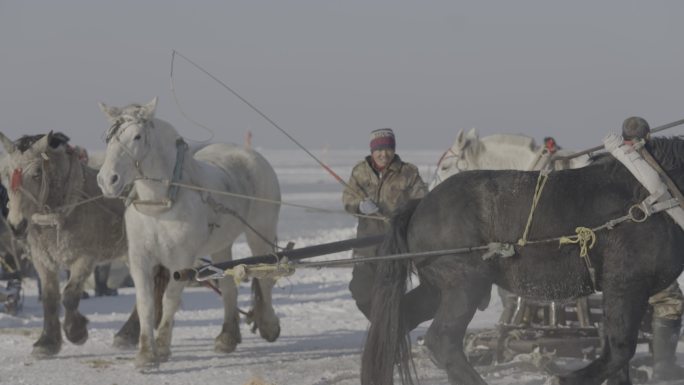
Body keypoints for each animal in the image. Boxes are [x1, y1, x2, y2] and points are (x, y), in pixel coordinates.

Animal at [1, 132, 167, 356]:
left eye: (37, 173)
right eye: (6, 173)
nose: (16, 225)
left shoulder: (84, 258)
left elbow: (69, 295)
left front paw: (76, 332)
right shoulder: (42, 261)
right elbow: (50, 298)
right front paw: (47, 342)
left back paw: (128, 333)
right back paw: (130, 332)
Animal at [96, 97, 280, 368]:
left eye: (137, 136)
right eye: (109, 138)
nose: (108, 180)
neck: (160, 206)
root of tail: (251, 153)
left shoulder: (181, 259)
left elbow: (170, 300)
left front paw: (162, 347)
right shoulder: (140, 257)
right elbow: (145, 302)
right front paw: (145, 353)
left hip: (260, 231)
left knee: (266, 279)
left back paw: (268, 325)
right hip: (221, 245)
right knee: (228, 287)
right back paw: (227, 337)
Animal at [360, 136, 684, 384]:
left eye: (447, 164)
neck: (650, 194)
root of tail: (419, 205)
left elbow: (619, 361)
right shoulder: (626, 283)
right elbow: (620, 350)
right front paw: (562, 379)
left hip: (435, 288)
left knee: (399, 320)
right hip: (463, 285)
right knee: (442, 341)